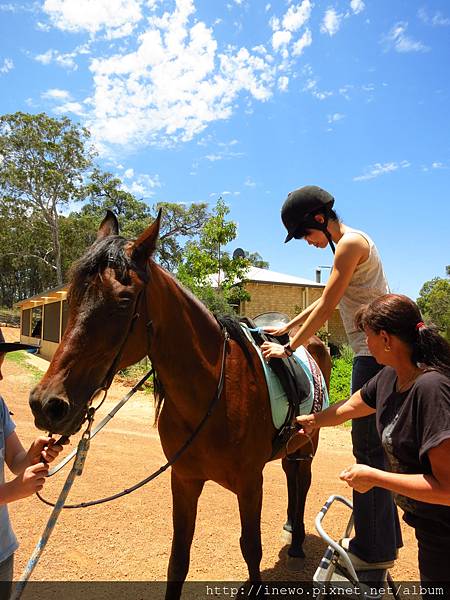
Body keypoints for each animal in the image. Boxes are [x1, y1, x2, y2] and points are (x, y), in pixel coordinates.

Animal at [28, 211, 330, 596]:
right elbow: (178, 559)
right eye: (74, 297)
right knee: (292, 477)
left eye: (123, 302)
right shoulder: (184, 480)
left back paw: (297, 544)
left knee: (301, 480)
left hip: (309, 443)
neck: (213, 396)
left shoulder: (250, 484)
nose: (46, 404)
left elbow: (251, 548)